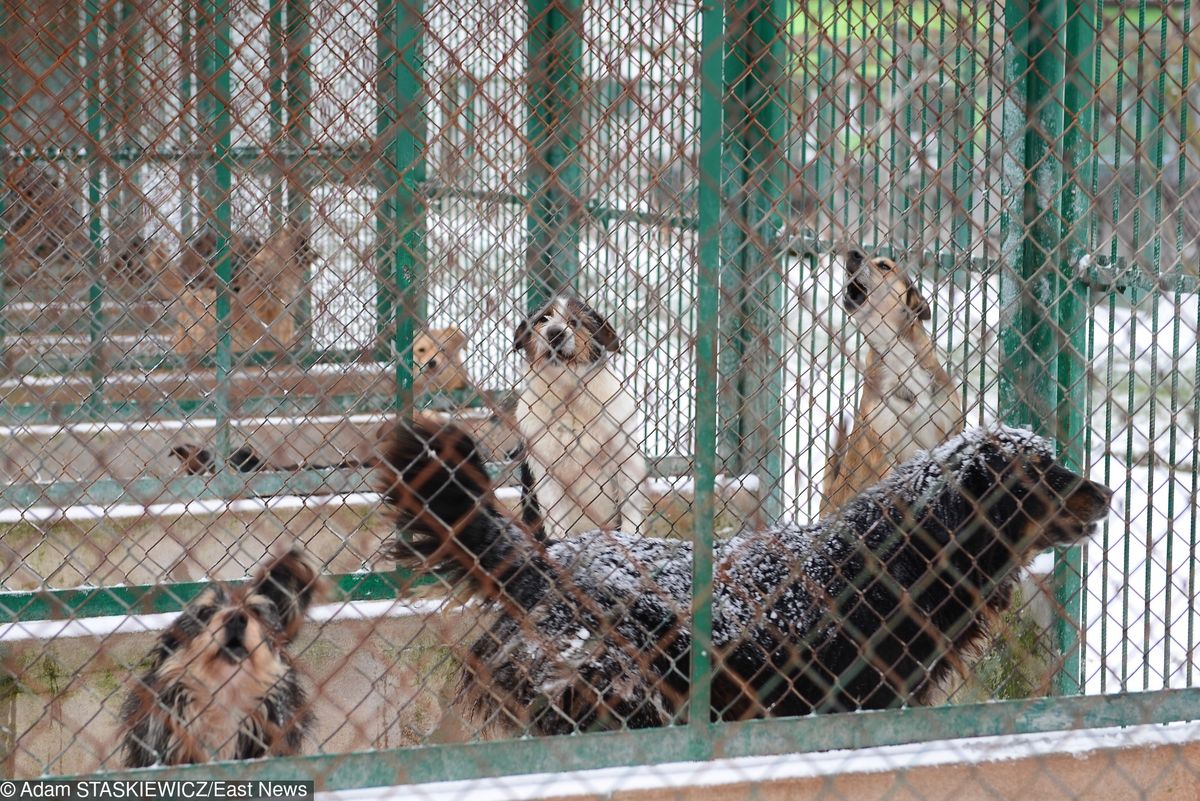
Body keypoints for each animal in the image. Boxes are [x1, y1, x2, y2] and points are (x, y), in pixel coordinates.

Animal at [513, 297, 648, 541]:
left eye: (575, 322)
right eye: (543, 319)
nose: (555, 333)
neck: (569, 395)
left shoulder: (625, 459)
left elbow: (630, 507)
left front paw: (631, 536)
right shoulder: (547, 473)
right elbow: (556, 517)